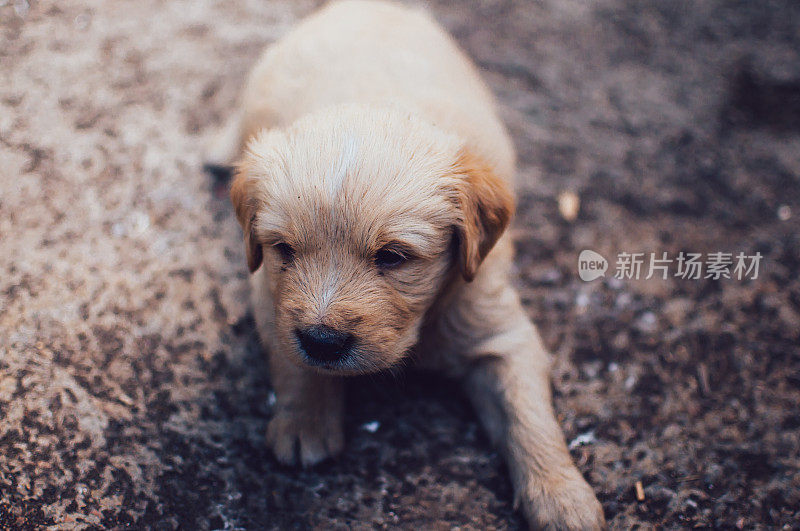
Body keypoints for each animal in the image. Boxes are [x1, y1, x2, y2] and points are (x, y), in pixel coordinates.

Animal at [209, 2, 604, 528]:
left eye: (393, 257)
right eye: (285, 250)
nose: (323, 342)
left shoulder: (500, 329)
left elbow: (528, 415)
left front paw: (563, 496)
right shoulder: (269, 297)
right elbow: (291, 357)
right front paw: (303, 419)